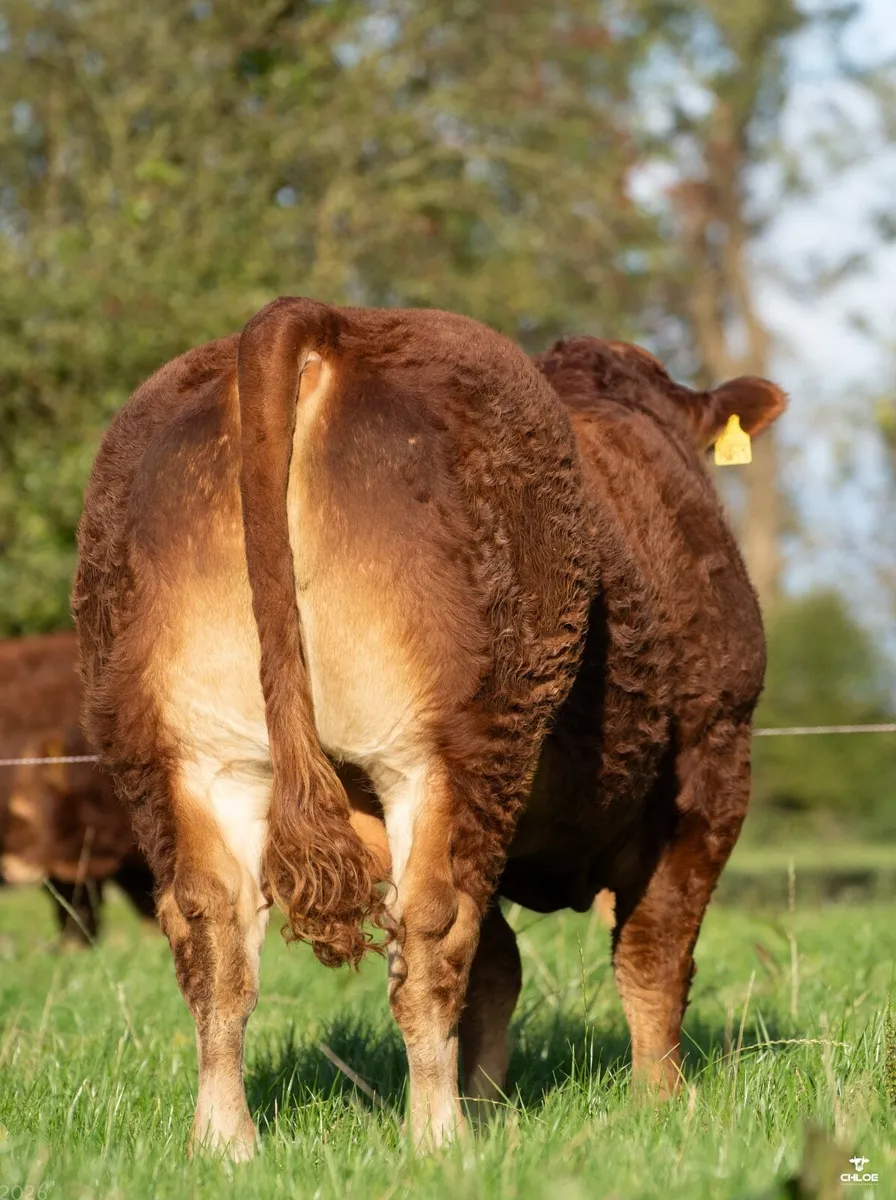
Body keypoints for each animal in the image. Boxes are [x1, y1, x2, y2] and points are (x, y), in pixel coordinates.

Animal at [72, 297, 784, 1160]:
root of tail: (321, 321)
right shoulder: (714, 759)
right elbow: (653, 952)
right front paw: (659, 1106)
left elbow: (504, 969)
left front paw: (494, 1099)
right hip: (451, 748)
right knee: (432, 931)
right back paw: (438, 1136)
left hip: (181, 753)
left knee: (214, 933)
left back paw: (225, 1143)